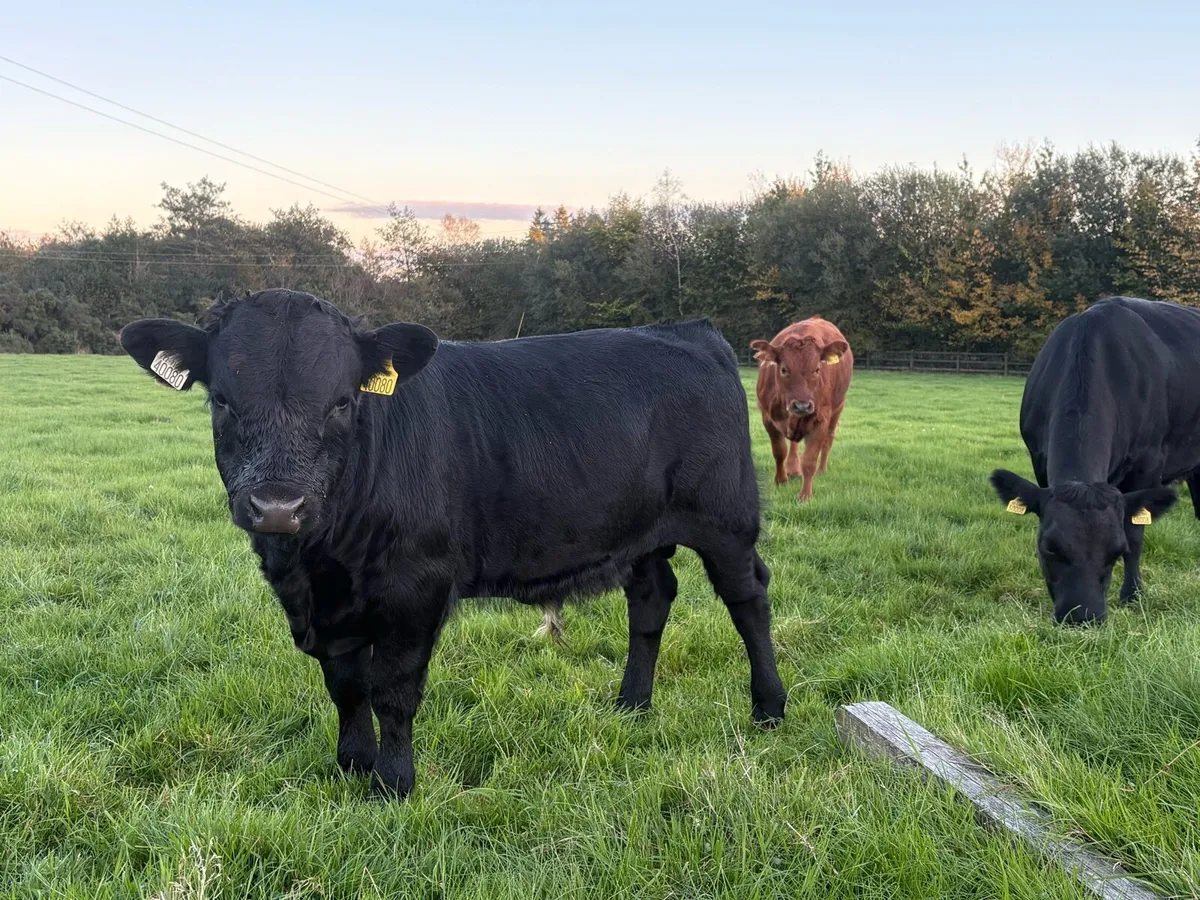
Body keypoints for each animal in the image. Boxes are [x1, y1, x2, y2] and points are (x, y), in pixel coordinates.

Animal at [119, 289, 787, 799]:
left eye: (342, 402)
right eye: (221, 401)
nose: (279, 507)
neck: (318, 564)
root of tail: (690, 330)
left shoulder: (416, 586)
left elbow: (392, 688)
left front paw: (392, 784)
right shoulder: (322, 606)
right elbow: (345, 684)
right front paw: (352, 766)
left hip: (725, 518)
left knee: (747, 598)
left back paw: (769, 708)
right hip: (639, 530)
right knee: (651, 598)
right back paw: (631, 704)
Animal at [750, 317, 853, 502]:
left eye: (817, 369)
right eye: (784, 369)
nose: (802, 405)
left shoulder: (821, 419)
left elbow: (809, 461)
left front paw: (805, 495)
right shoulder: (767, 417)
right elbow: (779, 451)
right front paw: (781, 480)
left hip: (838, 407)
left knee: (828, 440)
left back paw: (821, 470)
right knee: (793, 444)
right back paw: (792, 469)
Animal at [989, 296, 1200, 625]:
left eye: (1116, 550)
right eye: (1049, 548)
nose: (1082, 616)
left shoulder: (1149, 464)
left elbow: (1136, 535)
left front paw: (1132, 595)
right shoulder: (1038, 459)